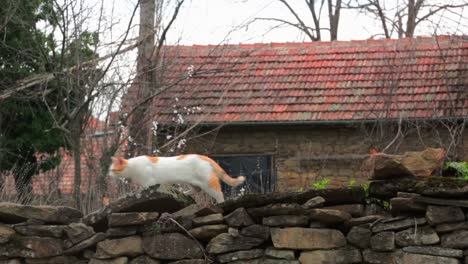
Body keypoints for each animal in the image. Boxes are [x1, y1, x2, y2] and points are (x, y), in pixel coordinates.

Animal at [108, 154, 247, 203]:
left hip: (209, 184)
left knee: (220, 195)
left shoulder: (150, 184)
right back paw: (183, 192)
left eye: (113, 170)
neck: (133, 167)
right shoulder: (158, 185)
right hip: (193, 183)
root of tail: (204, 156)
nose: (108, 174)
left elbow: (145, 191)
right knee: (196, 190)